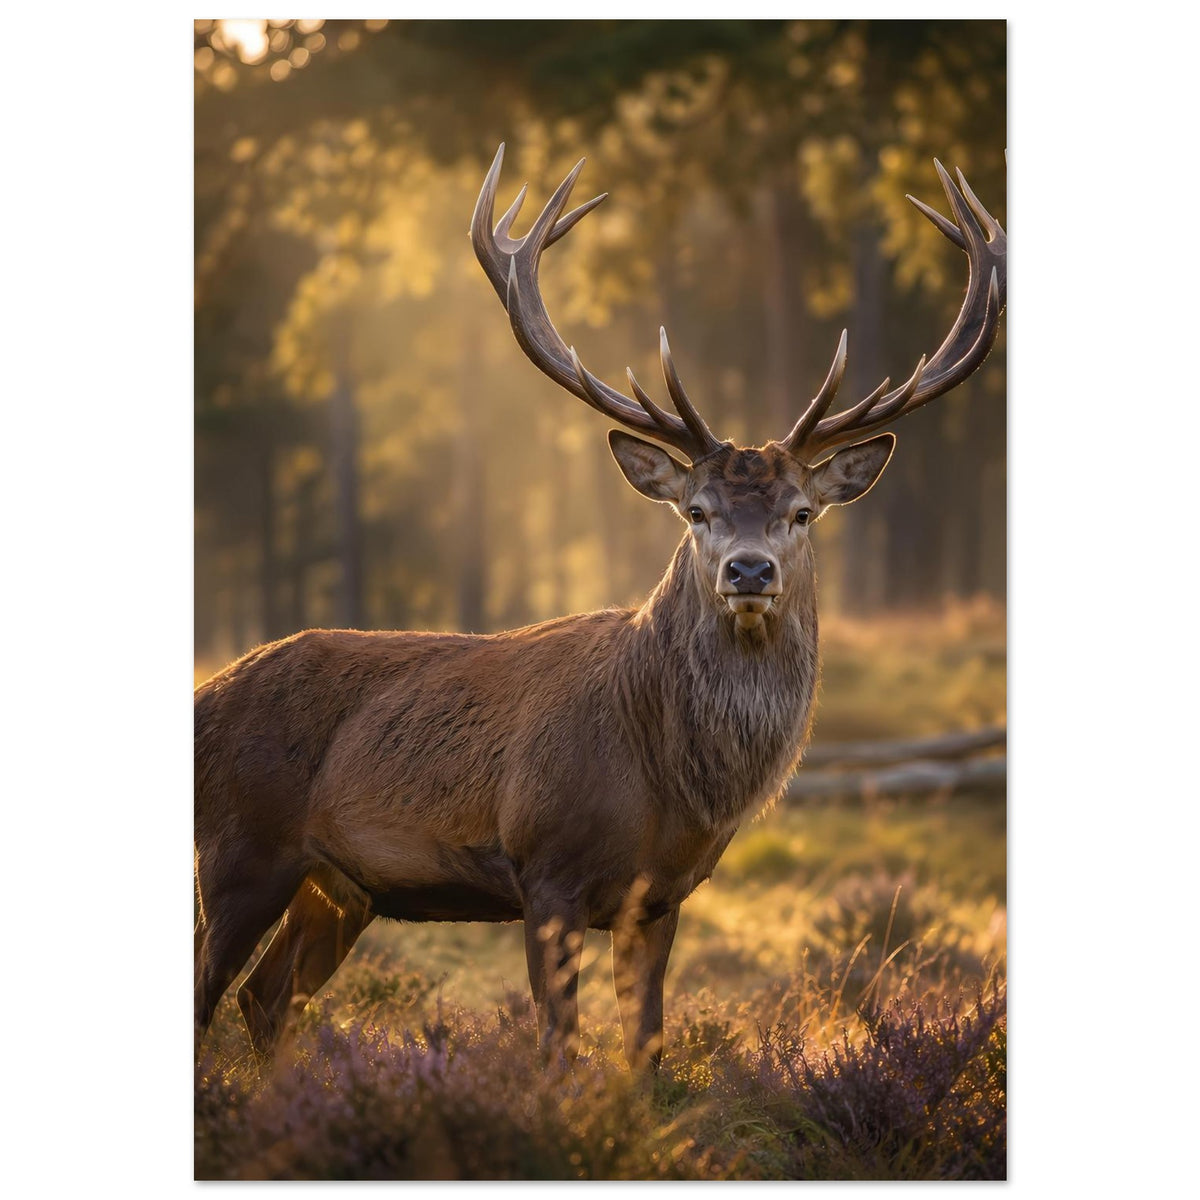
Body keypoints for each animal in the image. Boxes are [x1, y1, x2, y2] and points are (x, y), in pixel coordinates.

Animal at [194, 144, 1005, 1070]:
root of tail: (203, 696)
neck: (665, 778)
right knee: (210, 997)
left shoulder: (662, 895)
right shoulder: (545, 869)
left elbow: (644, 1048)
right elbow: (556, 1045)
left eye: (802, 512)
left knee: (266, 997)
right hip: (239, 849)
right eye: (697, 511)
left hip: (342, 885)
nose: (750, 570)